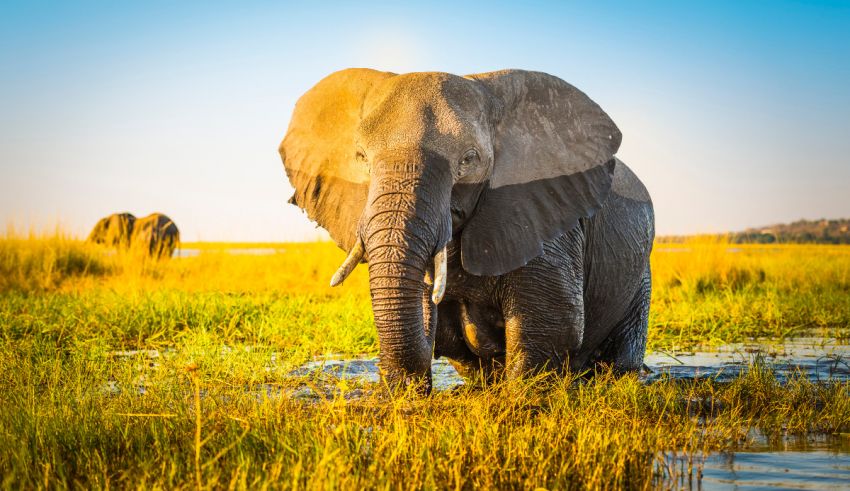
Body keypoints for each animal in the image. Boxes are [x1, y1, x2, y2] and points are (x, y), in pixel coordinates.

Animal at [279, 69, 654, 392]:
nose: (402, 388)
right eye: (360, 157)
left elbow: (553, 322)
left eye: (469, 159)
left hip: (640, 275)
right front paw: (404, 395)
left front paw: (519, 399)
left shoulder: (543, 209)